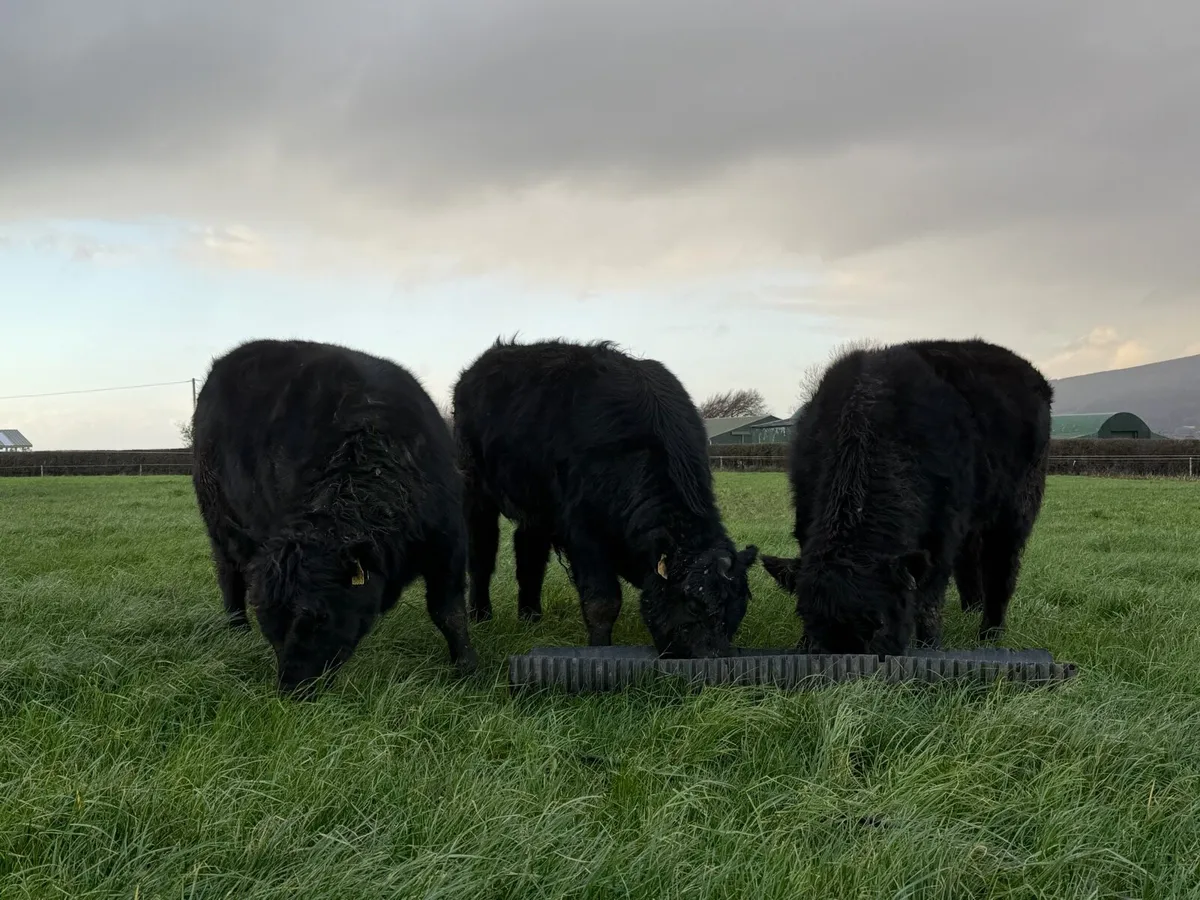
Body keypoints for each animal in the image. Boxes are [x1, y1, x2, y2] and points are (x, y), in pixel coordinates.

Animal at [191, 338, 477, 697]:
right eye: (270, 626)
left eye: (319, 617)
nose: (291, 691)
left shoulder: (448, 541)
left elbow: (448, 611)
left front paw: (467, 670)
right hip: (220, 522)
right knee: (229, 573)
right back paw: (237, 628)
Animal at [452, 338, 759, 658]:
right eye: (693, 603)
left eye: (737, 611)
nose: (715, 657)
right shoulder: (584, 534)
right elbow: (602, 603)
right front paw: (600, 649)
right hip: (475, 489)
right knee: (482, 552)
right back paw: (481, 615)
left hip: (536, 507)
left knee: (529, 554)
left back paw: (530, 617)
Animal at [761, 338, 1052, 656]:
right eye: (808, 619)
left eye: (879, 624)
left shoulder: (941, 534)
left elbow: (928, 603)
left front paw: (929, 647)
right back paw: (970, 609)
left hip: (1016, 510)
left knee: (1001, 569)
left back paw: (989, 634)